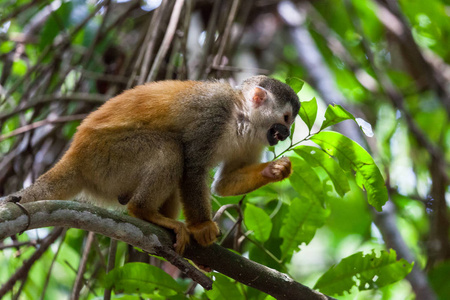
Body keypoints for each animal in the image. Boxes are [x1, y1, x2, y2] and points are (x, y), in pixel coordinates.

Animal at [6, 75, 298, 253]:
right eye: (285, 118)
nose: (284, 134)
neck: (241, 117)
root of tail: (76, 153)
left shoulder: (256, 139)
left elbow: (224, 183)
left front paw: (275, 170)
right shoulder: (213, 114)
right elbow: (192, 169)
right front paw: (202, 227)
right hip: (106, 156)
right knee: (171, 149)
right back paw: (144, 211)